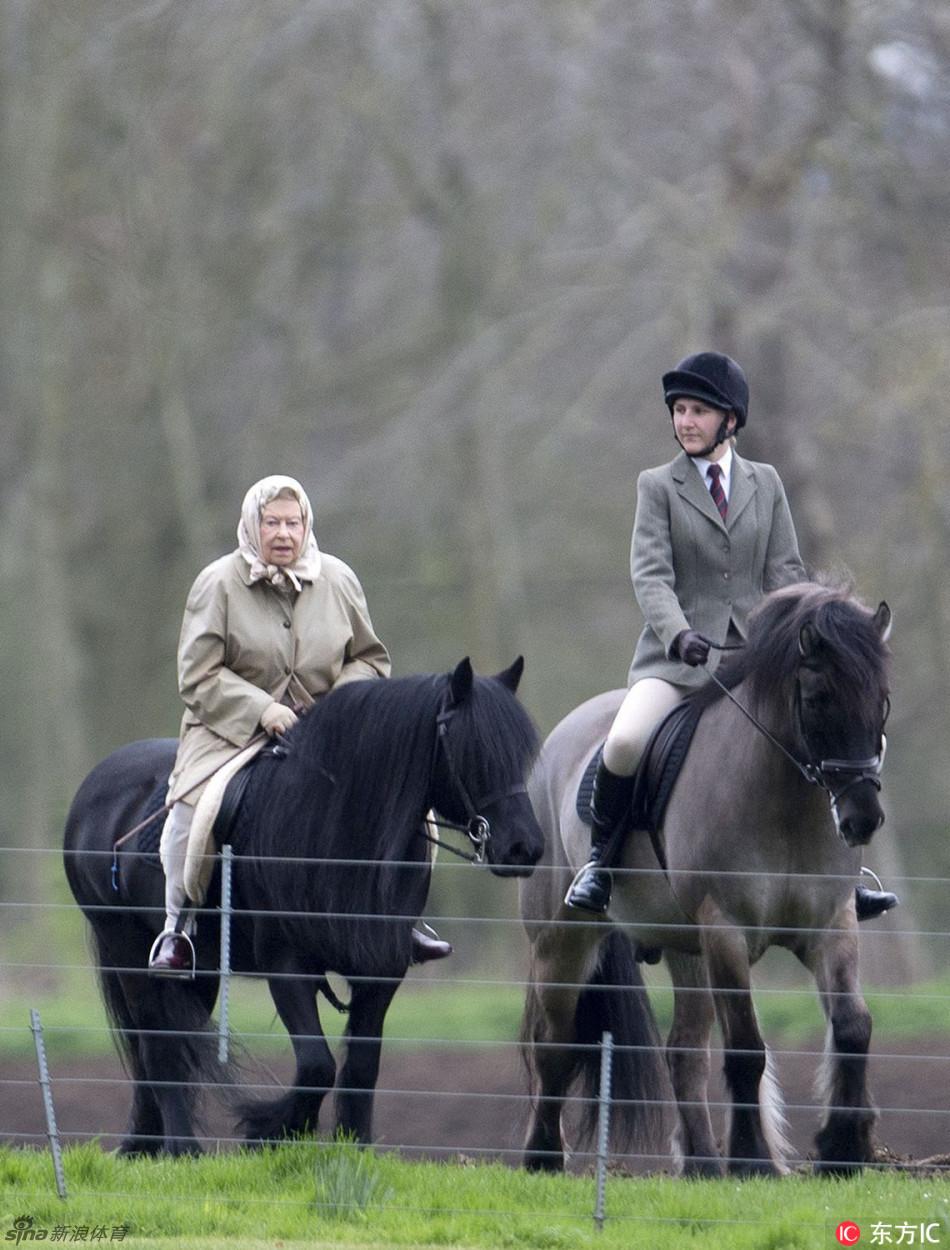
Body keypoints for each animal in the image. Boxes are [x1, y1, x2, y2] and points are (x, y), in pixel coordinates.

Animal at [63, 660, 542, 1155]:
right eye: (472, 750)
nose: (524, 848)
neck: (335, 825)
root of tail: (101, 780)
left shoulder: (382, 969)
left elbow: (361, 1067)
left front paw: (355, 1149)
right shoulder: (288, 963)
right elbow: (316, 1064)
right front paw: (272, 1130)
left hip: (199, 969)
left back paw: (144, 1144)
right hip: (125, 945)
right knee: (158, 1043)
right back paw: (181, 1148)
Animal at [520, 580, 890, 1175]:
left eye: (882, 700)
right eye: (818, 699)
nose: (862, 819)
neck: (786, 802)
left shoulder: (831, 925)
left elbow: (854, 1026)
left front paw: (842, 1150)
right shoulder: (726, 930)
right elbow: (745, 1048)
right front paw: (754, 1161)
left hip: (685, 949)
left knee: (684, 1050)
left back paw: (701, 1165)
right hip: (562, 940)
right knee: (553, 1043)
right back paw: (542, 1157)